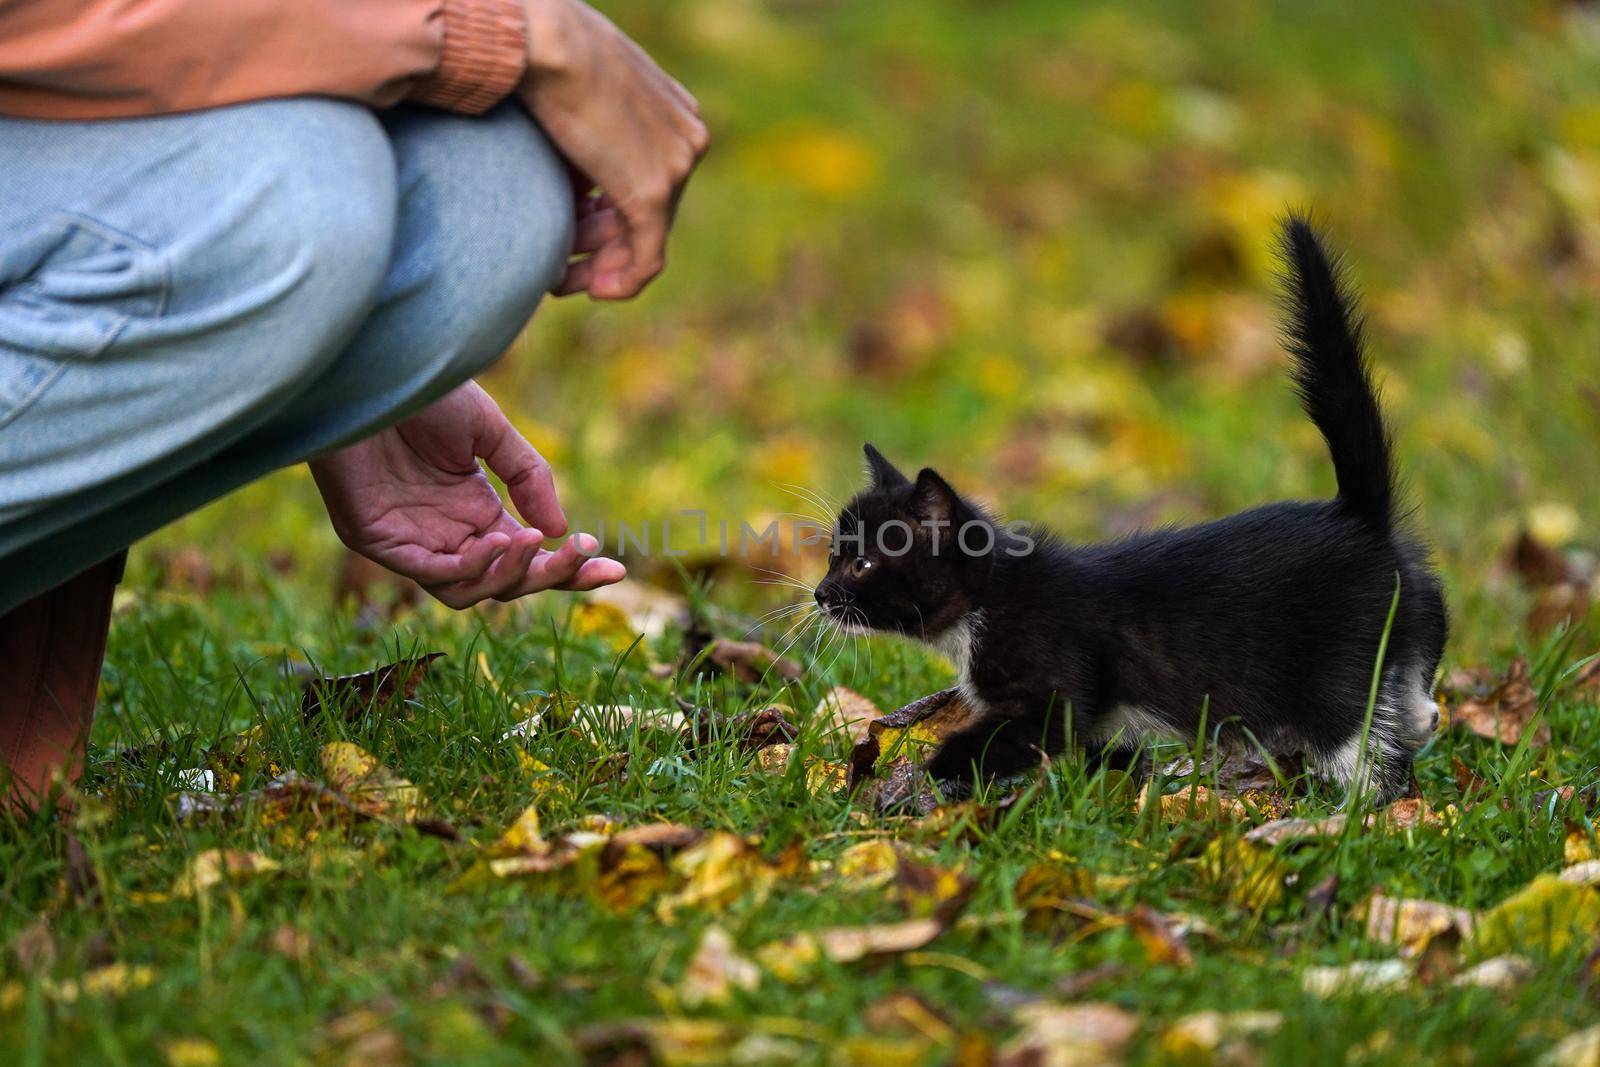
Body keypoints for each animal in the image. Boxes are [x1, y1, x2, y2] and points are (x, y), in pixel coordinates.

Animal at [812, 219, 1452, 799]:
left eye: (862, 564)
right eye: (832, 556)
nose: (819, 594)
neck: (989, 601)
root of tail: (1357, 514)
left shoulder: (1056, 681)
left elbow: (1018, 733)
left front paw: (926, 781)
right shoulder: (1105, 718)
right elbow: (1113, 757)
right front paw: (1112, 798)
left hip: (1333, 667)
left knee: (1367, 749)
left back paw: (1361, 814)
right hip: (1409, 615)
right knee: (1420, 676)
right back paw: (1422, 716)